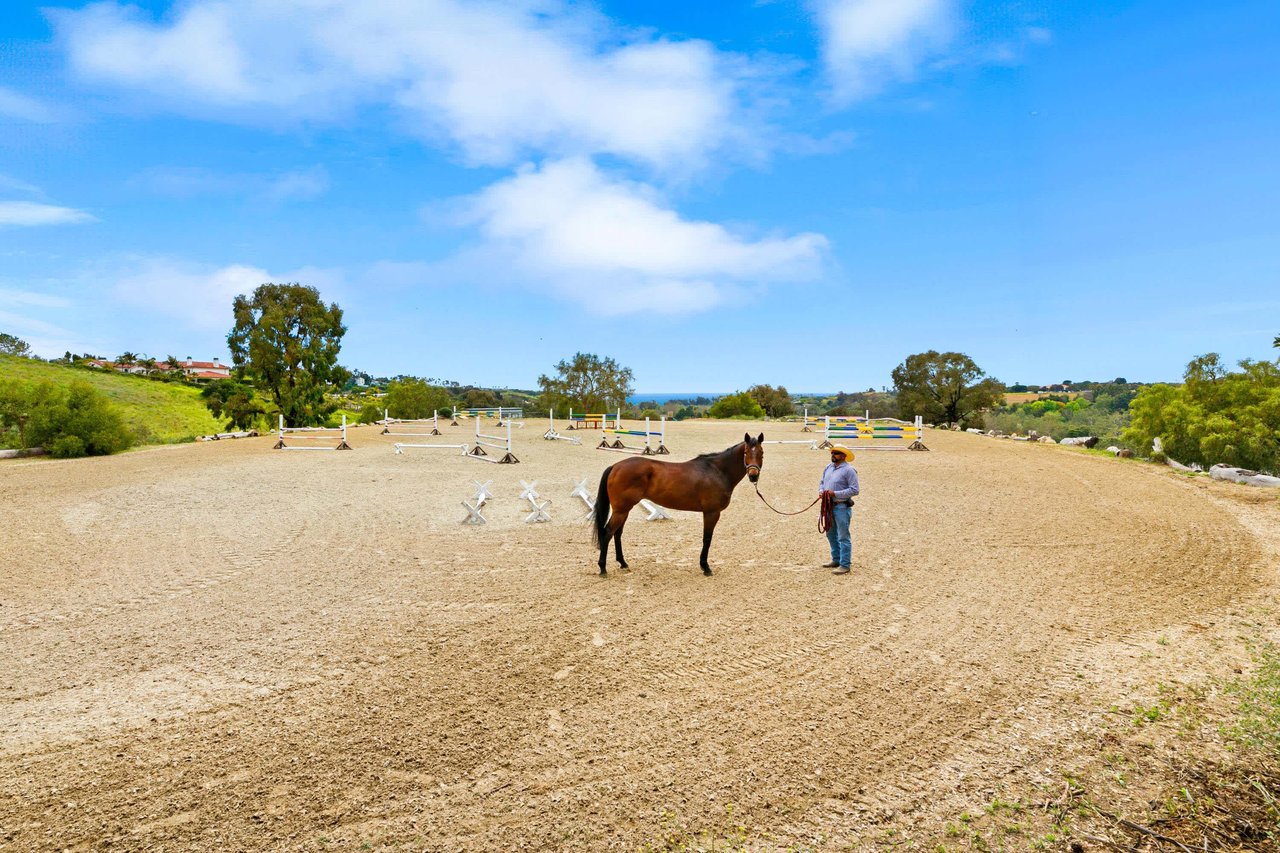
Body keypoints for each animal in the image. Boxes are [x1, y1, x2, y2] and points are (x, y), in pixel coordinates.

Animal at [593, 427, 762, 573]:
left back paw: (623, 563)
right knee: (608, 532)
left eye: (761, 452)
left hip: (624, 510)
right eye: (746, 452)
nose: (753, 475)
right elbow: (707, 538)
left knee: (617, 533)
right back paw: (602, 568)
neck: (717, 471)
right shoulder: (711, 513)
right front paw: (705, 567)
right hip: (621, 510)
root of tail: (615, 466)